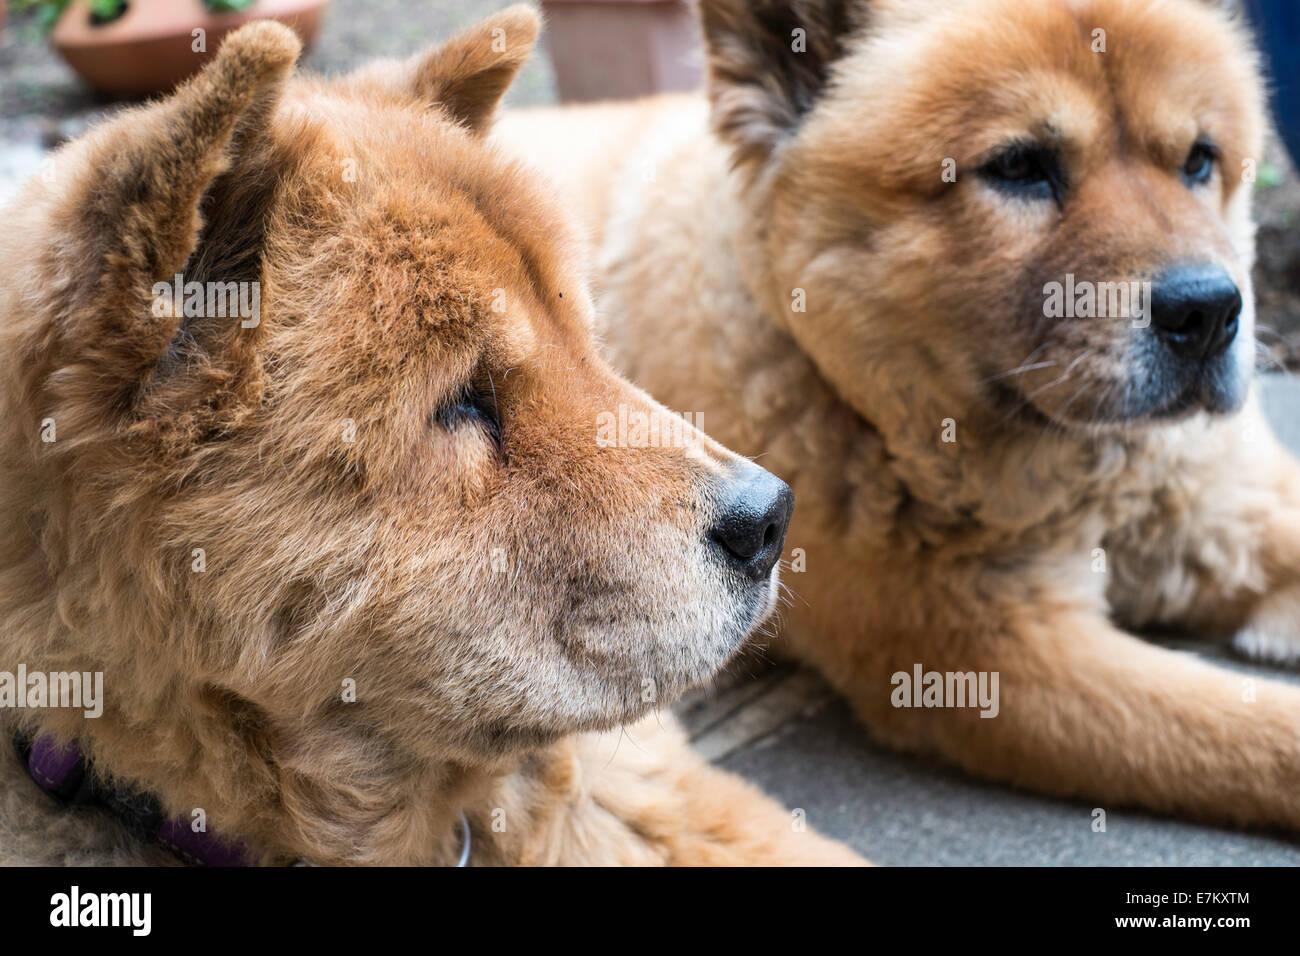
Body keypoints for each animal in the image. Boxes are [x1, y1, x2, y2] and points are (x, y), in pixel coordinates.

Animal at [499, 0, 1300, 832]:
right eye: (1018, 167)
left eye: (1199, 161)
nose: (1209, 312)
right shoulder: (990, 652)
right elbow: (1260, 734)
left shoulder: (1228, 516)